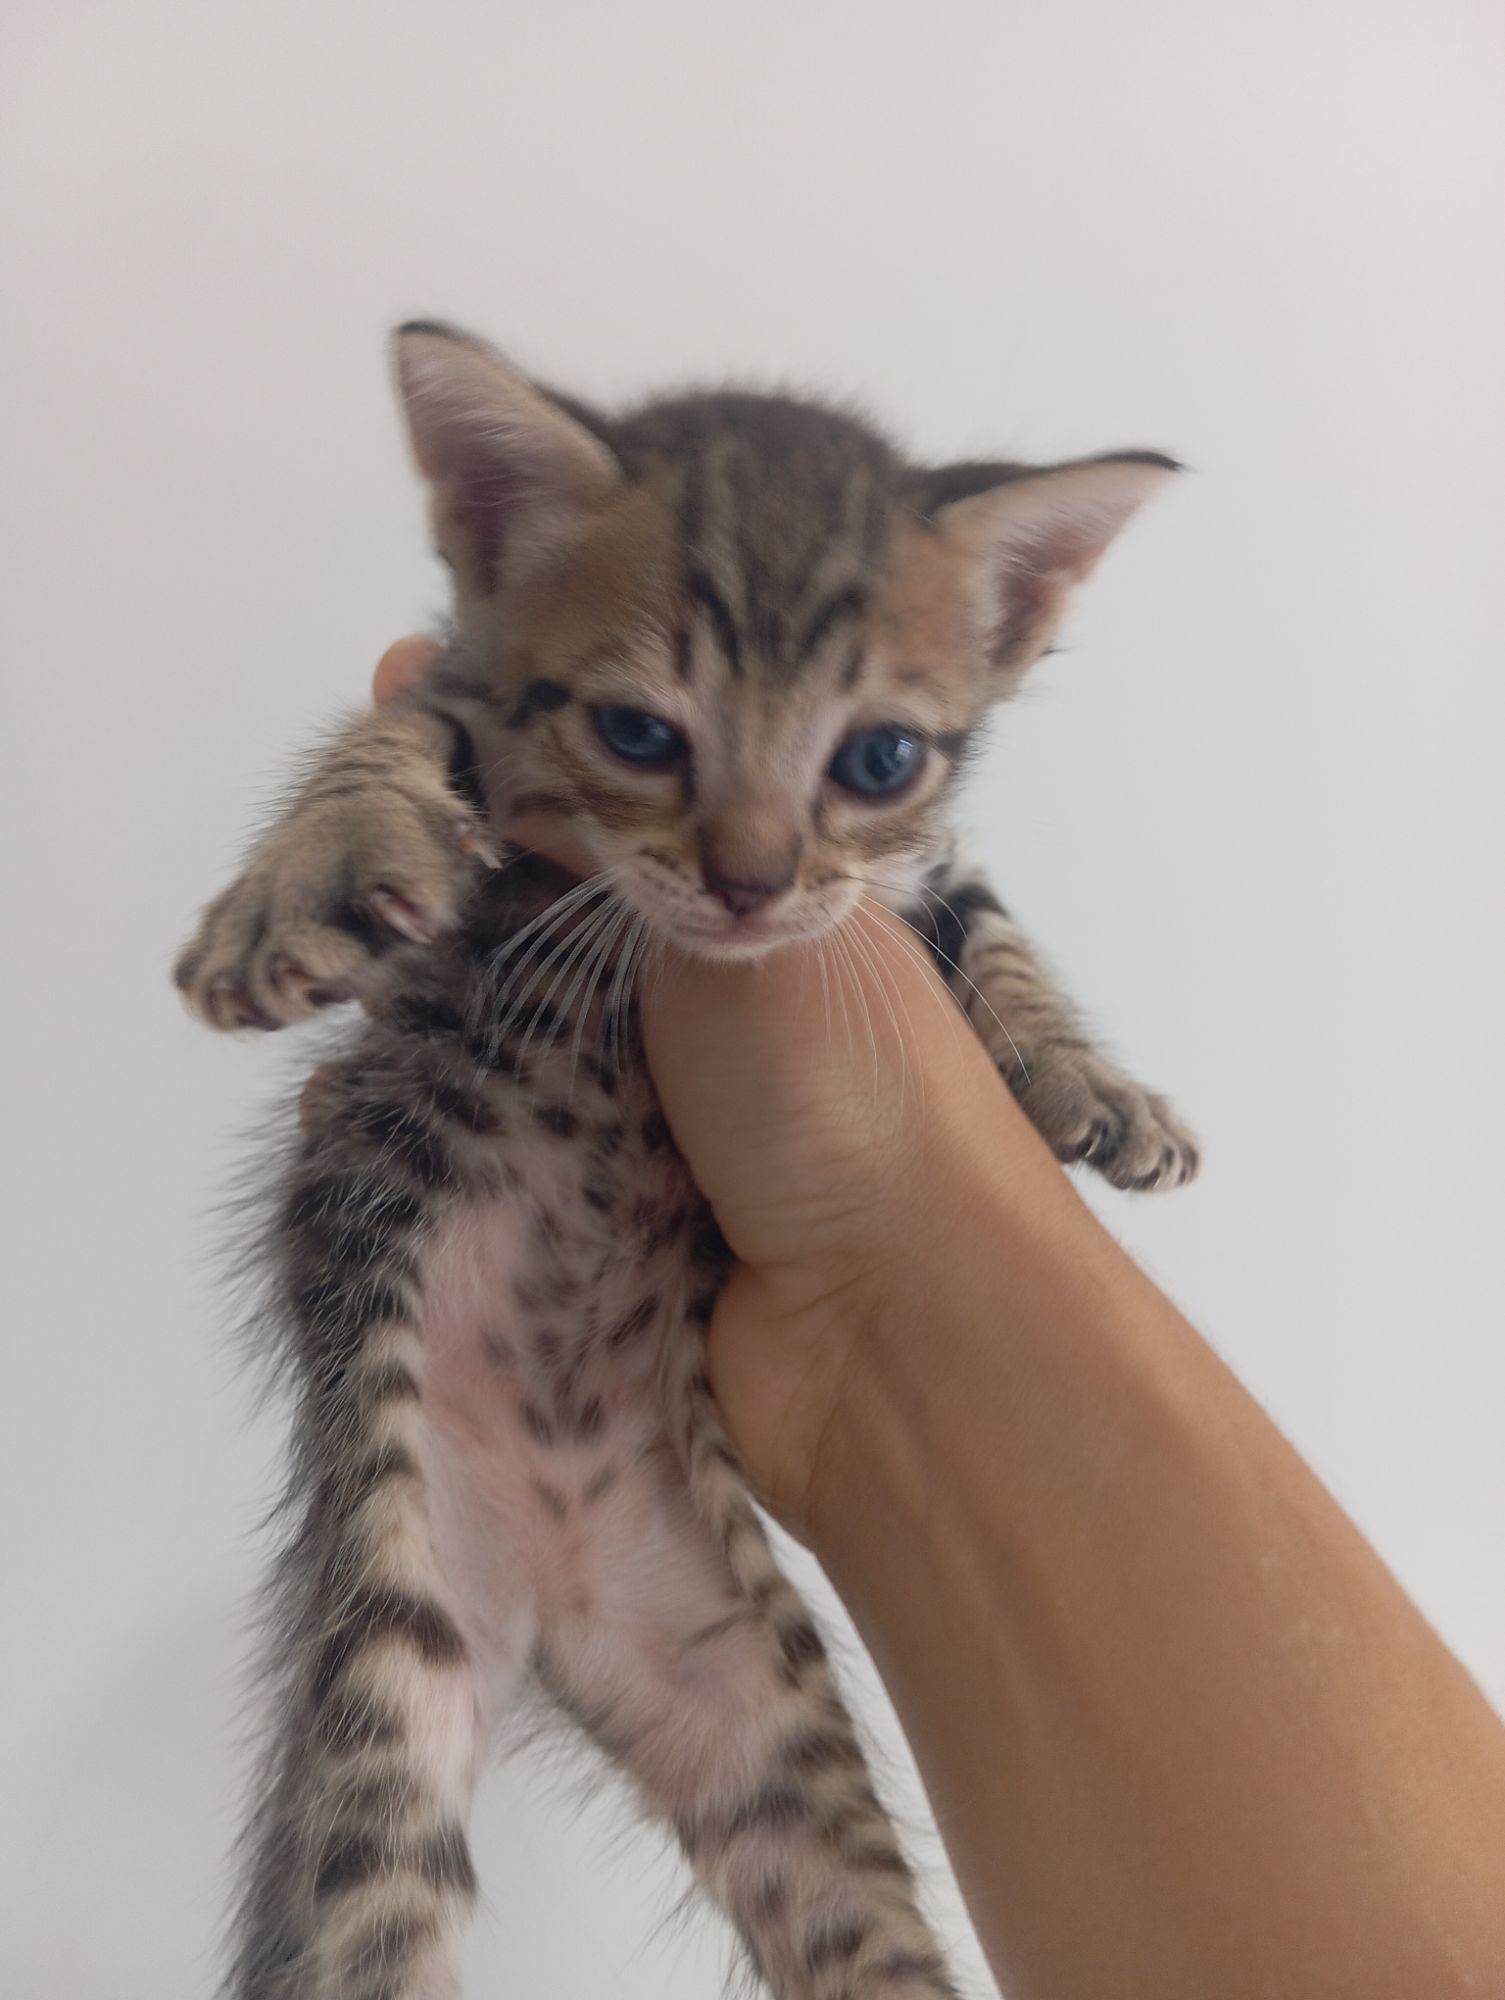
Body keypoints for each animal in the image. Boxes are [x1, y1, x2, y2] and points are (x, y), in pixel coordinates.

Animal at [175, 321, 1199, 2000]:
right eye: (641, 734)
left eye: (880, 755)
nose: (751, 882)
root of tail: (552, 1607)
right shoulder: (468, 696)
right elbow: (390, 732)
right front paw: (305, 880)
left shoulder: (917, 871)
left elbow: (987, 927)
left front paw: (1088, 1086)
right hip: (387, 1681)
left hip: (776, 1737)